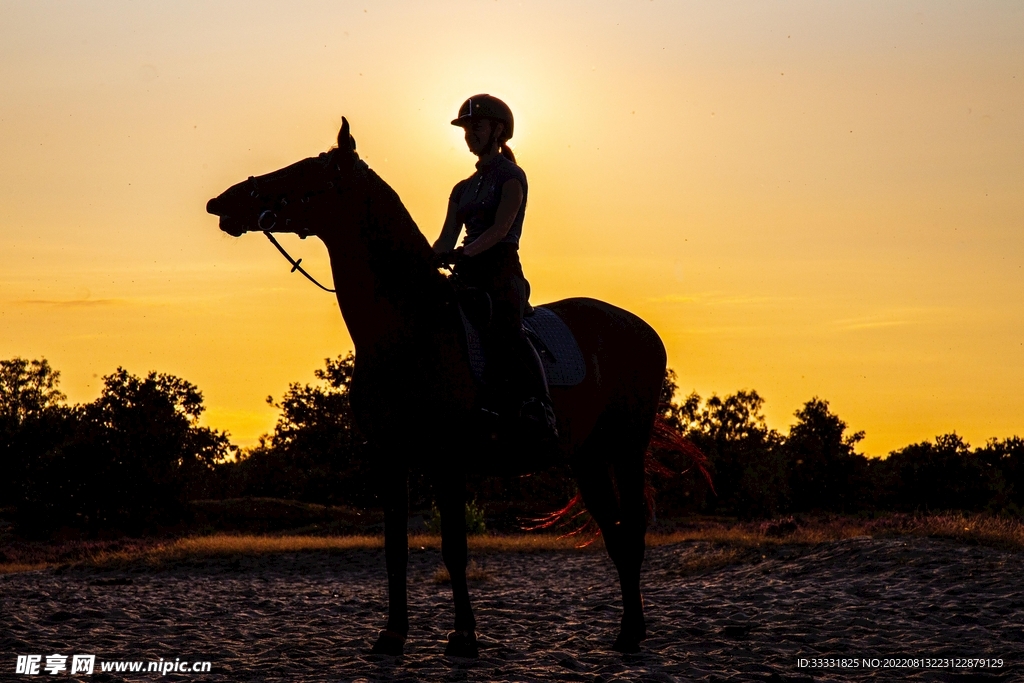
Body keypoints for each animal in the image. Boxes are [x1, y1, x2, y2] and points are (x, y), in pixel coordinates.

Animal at [207, 118, 697, 656]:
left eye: (301, 174)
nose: (221, 203)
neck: (409, 328)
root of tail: (641, 329)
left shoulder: (447, 457)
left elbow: (454, 548)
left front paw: (463, 635)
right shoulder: (389, 456)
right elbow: (395, 550)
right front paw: (392, 634)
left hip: (627, 448)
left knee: (632, 532)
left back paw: (633, 632)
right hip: (586, 456)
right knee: (614, 533)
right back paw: (626, 631)